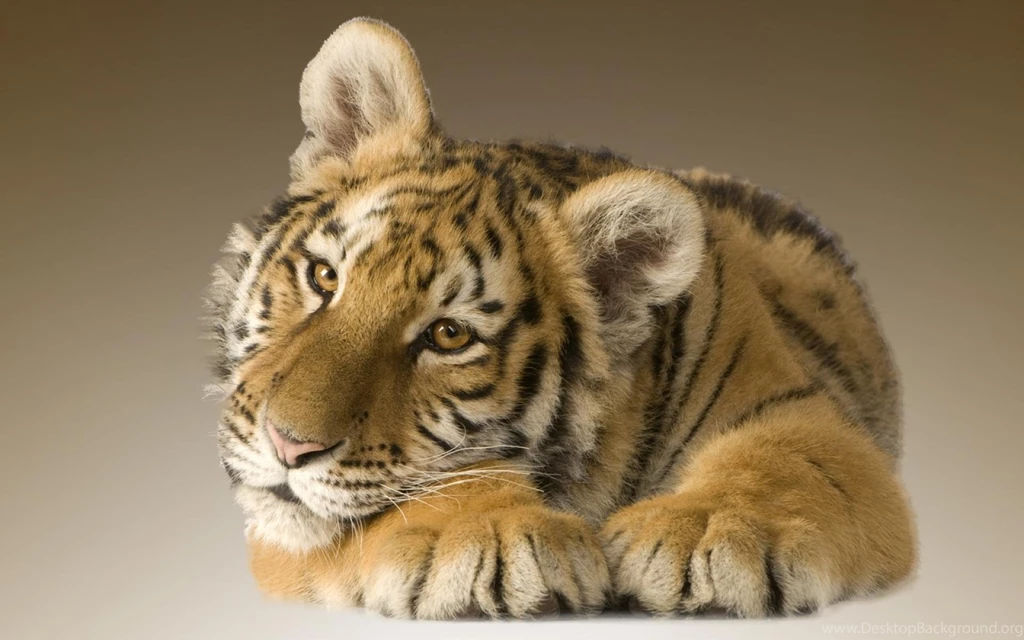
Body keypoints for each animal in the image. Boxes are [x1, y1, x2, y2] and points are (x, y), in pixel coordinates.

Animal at [208, 18, 916, 619]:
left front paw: (705, 531)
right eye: (324, 278)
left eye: (449, 335)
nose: (288, 446)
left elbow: (784, 463)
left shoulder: (808, 416)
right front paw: (496, 533)